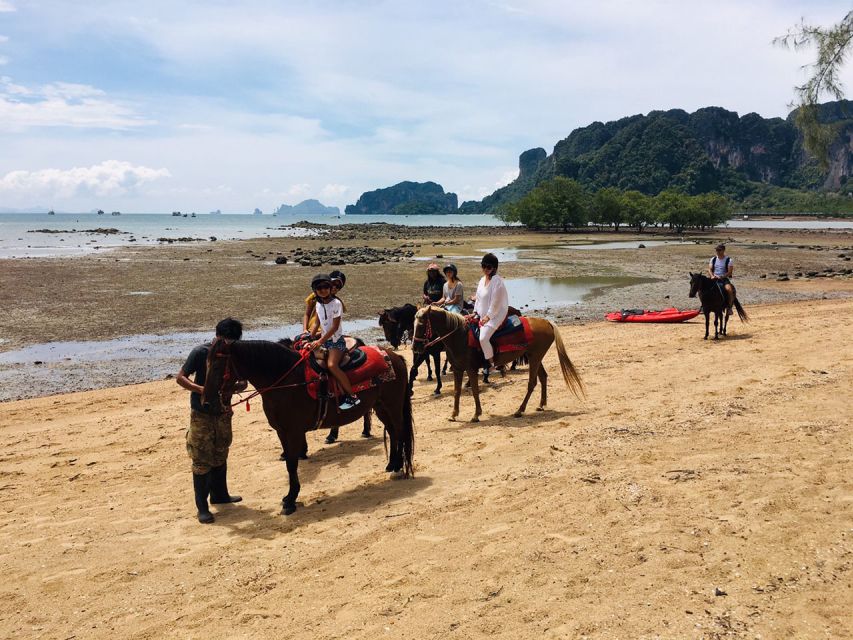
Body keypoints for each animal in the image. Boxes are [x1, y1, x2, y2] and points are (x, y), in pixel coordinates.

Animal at [201, 340, 412, 516]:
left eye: (218, 365)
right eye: (206, 365)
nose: (206, 403)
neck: (288, 382)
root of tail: (394, 357)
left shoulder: (293, 432)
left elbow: (292, 464)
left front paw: (291, 501)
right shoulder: (281, 432)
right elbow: (289, 464)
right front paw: (289, 498)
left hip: (392, 406)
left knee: (400, 431)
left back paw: (399, 469)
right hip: (380, 406)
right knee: (393, 432)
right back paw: (392, 465)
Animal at [410, 308, 584, 422]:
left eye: (421, 325)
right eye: (413, 324)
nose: (415, 347)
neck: (460, 336)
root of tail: (547, 322)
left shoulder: (471, 369)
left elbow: (474, 390)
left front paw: (476, 414)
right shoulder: (458, 370)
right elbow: (457, 391)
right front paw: (454, 414)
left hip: (535, 358)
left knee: (532, 382)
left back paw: (520, 410)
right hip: (534, 357)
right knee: (543, 377)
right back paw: (541, 405)